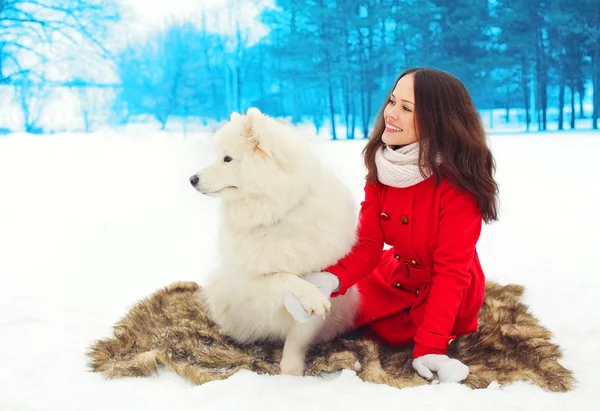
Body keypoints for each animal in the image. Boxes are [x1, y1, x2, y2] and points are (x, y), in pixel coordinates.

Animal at [190, 107, 360, 376]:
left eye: (227, 159)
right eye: (218, 156)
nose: (192, 179)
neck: (276, 212)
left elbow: (298, 338)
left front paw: (291, 371)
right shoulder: (249, 281)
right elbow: (283, 278)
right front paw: (310, 294)